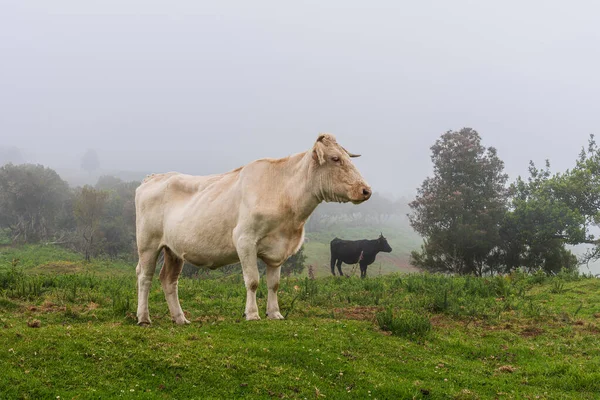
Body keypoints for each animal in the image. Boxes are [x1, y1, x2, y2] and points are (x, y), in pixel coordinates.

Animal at [135, 133, 370, 324]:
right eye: (335, 158)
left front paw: (274, 313)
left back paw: (180, 318)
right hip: (148, 244)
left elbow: (274, 284)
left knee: (169, 280)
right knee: (144, 276)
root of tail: (154, 177)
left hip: (173, 250)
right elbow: (253, 281)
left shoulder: (278, 250)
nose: (366, 190)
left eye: (347, 157)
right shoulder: (244, 240)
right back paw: (144, 317)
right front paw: (252, 313)